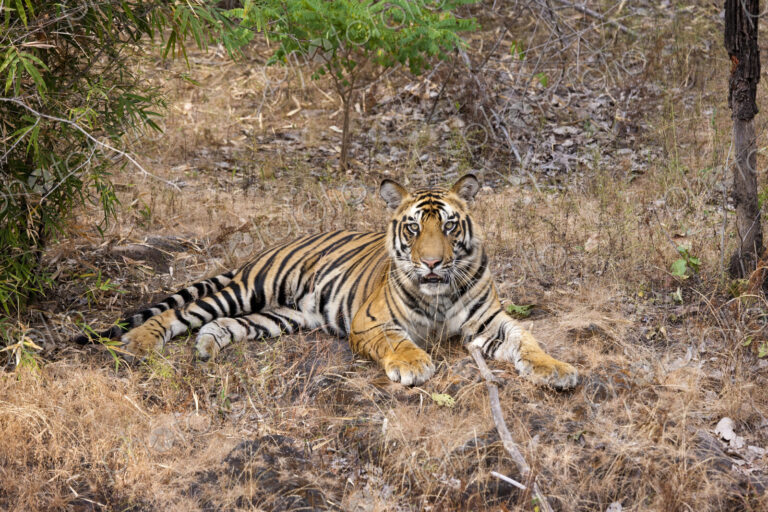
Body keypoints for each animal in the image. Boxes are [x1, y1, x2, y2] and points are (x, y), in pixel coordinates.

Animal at [75, 175, 578, 389]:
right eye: (414, 228)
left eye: (450, 226)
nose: (433, 263)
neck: (438, 294)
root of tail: (265, 249)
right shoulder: (371, 322)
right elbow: (400, 343)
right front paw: (415, 365)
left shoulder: (491, 322)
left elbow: (528, 340)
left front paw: (557, 370)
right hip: (248, 289)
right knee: (182, 312)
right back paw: (139, 343)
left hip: (282, 316)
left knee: (221, 325)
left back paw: (206, 348)